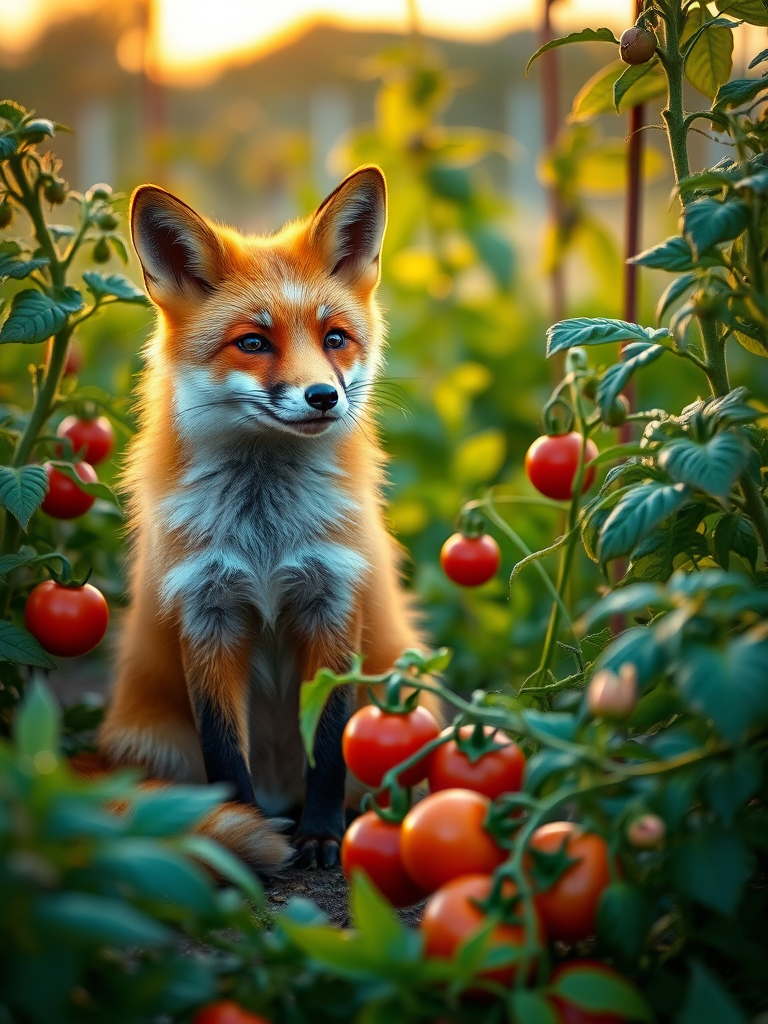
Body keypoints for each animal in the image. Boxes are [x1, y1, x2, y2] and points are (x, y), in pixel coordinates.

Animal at [98, 165, 433, 872]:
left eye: (335, 339)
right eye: (253, 343)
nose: (324, 396)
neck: (265, 537)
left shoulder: (333, 602)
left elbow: (329, 744)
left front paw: (322, 836)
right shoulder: (207, 610)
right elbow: (225, 755)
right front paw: (245, 831)